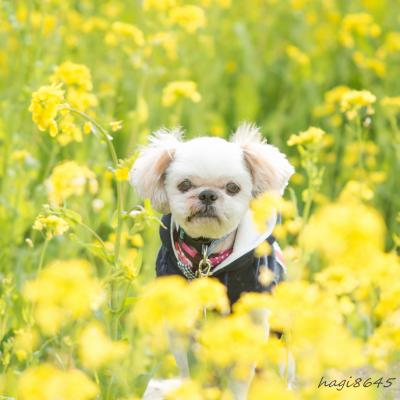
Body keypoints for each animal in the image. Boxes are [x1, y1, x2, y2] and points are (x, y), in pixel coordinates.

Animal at [130, 123, 296, 398]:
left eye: (232, 188)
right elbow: (188, 367)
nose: (207, 195)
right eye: (185, 184)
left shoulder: (250, 322)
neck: (206, 254)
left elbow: (240, 379)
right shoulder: (180, 328)